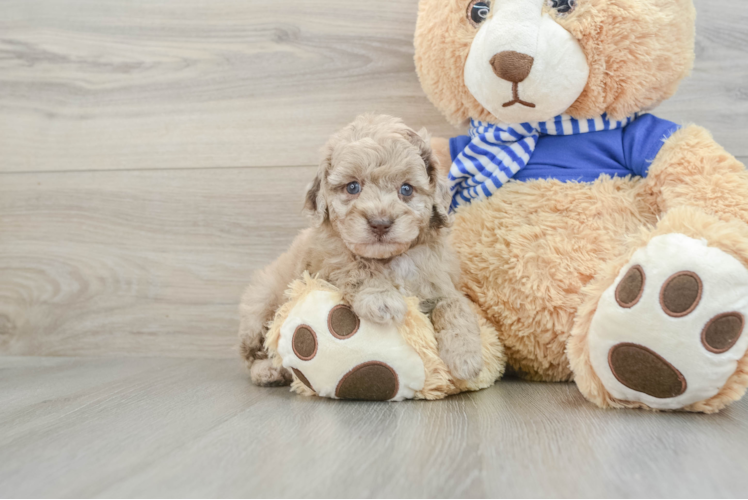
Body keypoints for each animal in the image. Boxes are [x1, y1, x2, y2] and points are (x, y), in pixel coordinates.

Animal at [240, 114, 486, 386]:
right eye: (352, 187)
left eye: (406, 189)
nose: (380, 223)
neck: (389, 259)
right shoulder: (327, 263)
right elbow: (356, 267)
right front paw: (381, 297)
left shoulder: (441, 281)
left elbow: (455, 305)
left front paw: (465, 355)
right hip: (260, 304)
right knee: (255, 348)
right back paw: (268, 370)